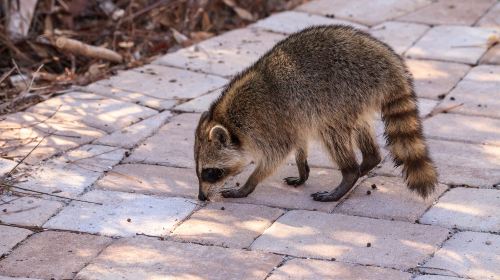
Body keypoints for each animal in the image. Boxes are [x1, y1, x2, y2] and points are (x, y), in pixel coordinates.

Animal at [195, 25, 438, 202]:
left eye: (210, 172)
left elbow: (276, 155)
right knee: (359, 126)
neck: (229, 119)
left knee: (331, 131)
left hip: (344, 92)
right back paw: (368, 161)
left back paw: (349, 174)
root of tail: (389, 63)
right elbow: (298, 140)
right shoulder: (293, 118)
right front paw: (302, 169)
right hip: (355, 99)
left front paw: (249, 184)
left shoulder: (267, 122)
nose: (201, 197)